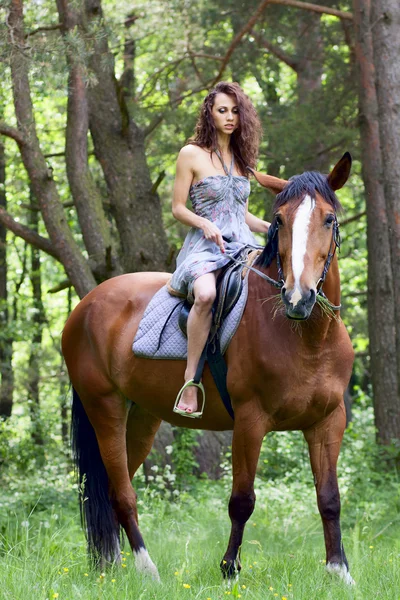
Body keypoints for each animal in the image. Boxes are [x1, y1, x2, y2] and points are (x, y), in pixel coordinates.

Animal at [61, 152, 354, 584]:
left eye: (329, 219)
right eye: (280, 219)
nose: (298, 297)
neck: (308, 336)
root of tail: (85, 306)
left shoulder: (328, 422)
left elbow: (330, 498)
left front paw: (339, 571)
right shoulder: (250, 421)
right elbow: (242, 500)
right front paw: (230, 569)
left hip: (142, 417)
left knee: (115, 490)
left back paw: (114, 569)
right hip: (105, 409)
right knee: (123, 493)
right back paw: (147, 570)